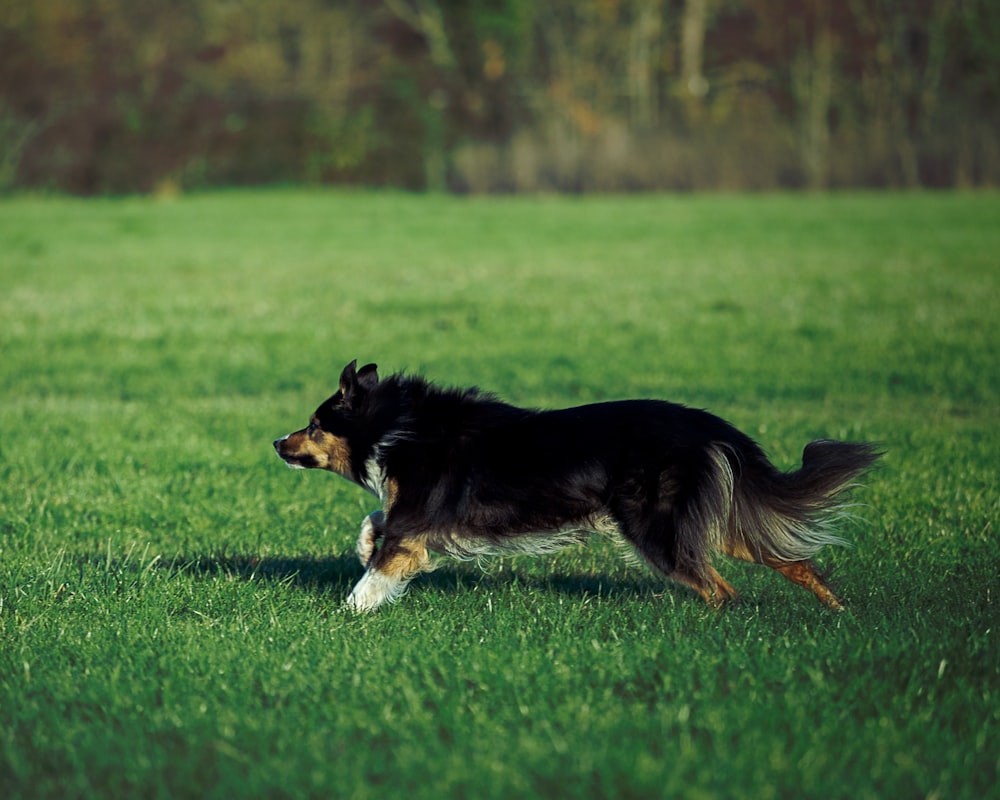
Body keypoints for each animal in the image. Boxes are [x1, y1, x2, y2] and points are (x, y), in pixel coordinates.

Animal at [274, 360, 876, 612]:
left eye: (315, 424)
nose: (277, 442)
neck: (392, 425)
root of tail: (703, 424)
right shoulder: (413, 521)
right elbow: (374, 523)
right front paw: (362, 545)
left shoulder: (413, 524)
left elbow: (373, 576)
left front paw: (344, 616)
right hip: (713, 523)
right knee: (793, 560)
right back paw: (839, 611)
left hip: (657, 529)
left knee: (720, 590)